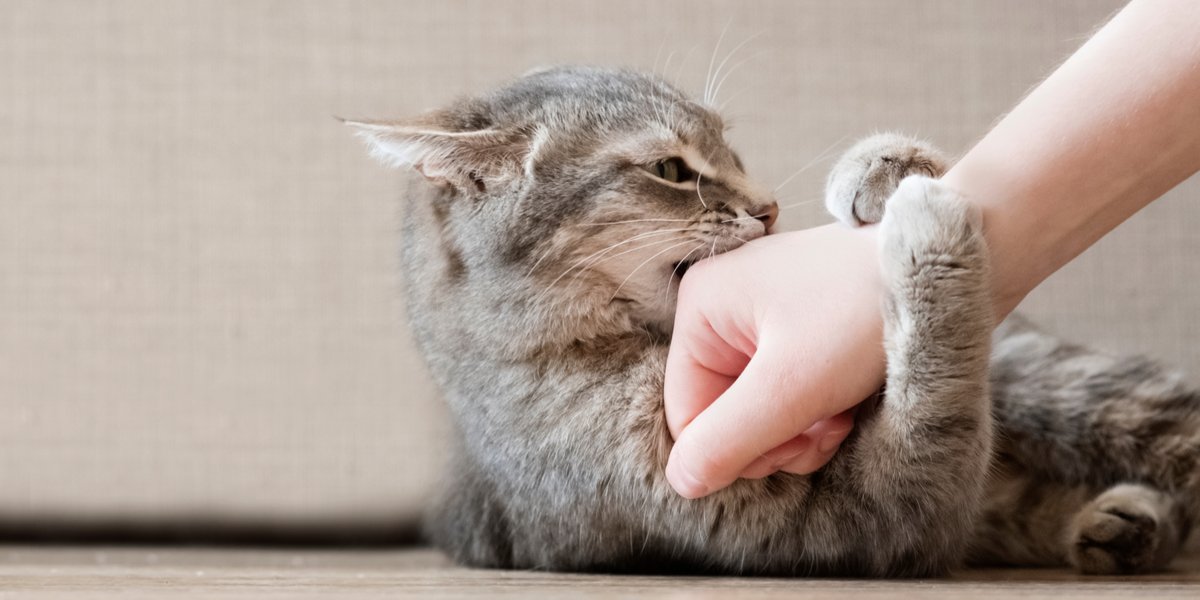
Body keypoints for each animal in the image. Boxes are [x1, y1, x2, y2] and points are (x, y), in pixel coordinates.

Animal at [343, 65, 1195, 576]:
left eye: (732, 148)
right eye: (671, 170)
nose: (770, 207)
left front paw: (884, 169)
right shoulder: (863, 524)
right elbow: (937, 410)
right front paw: (929, 240)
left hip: (1060, 385)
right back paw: (1117, 525)